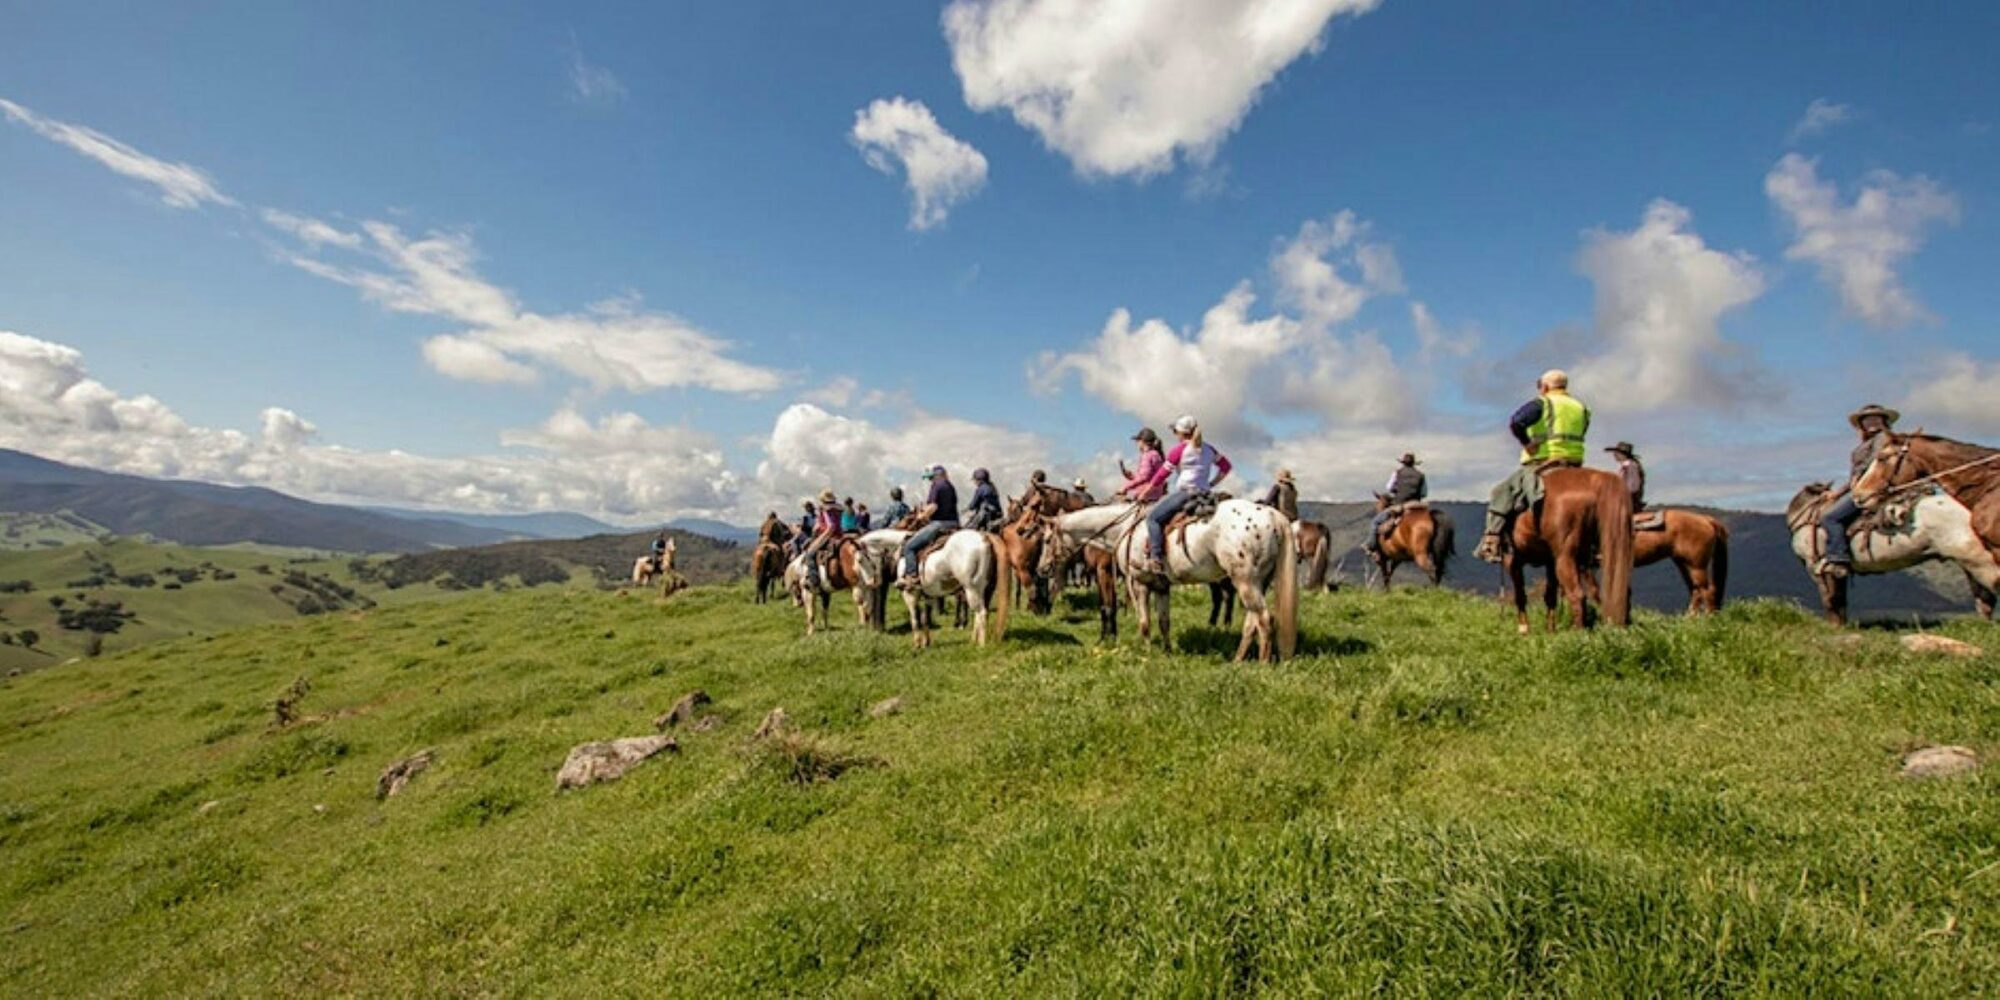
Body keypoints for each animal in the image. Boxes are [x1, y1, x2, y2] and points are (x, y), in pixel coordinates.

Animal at [1504, 466, 1640, 632]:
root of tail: (1597, 478)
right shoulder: (1550, 562)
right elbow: (1550, 596)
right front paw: (1550, 630)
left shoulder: (1512, 560)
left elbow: (1520, 595)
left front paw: (1524, 629)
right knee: (1621, 592)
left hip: (1566, 557)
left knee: (1578, 594)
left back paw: (1576, 631)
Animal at [1792, 484, 1992, 624]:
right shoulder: (1837, 571)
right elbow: (1840, 600)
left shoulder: (1815, 566)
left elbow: (1830, 600)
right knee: (1984, 597)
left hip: (1975, 557)